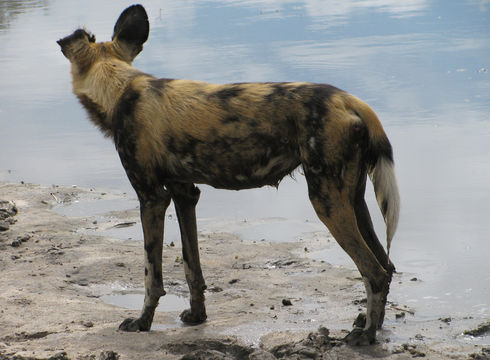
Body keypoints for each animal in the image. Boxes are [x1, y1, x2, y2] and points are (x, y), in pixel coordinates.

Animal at [59, 3, 400, 346]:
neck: (120, 88)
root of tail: (350, 100)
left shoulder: (151, 199)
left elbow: (151, 275)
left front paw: (143, 322)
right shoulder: (184, 195)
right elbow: (191, 266)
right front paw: (197, 316)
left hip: (326, 202)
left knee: (373, 271)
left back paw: (366, 335)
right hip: (352, 200)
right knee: (386, 265)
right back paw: (370, 323)